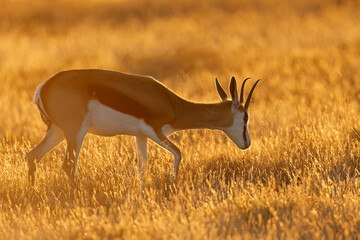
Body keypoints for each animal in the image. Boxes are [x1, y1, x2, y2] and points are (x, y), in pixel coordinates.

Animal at [26, 68, 260, 185]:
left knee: (32, 157)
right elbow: (179, 153)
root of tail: (43, 88)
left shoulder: (140, 136)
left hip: (57, 131)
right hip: (76, 132)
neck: (172, 104)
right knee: (68, 165)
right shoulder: (155, 131)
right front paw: (173, 185)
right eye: (246, 116)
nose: (247, 143)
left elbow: (142, 167)